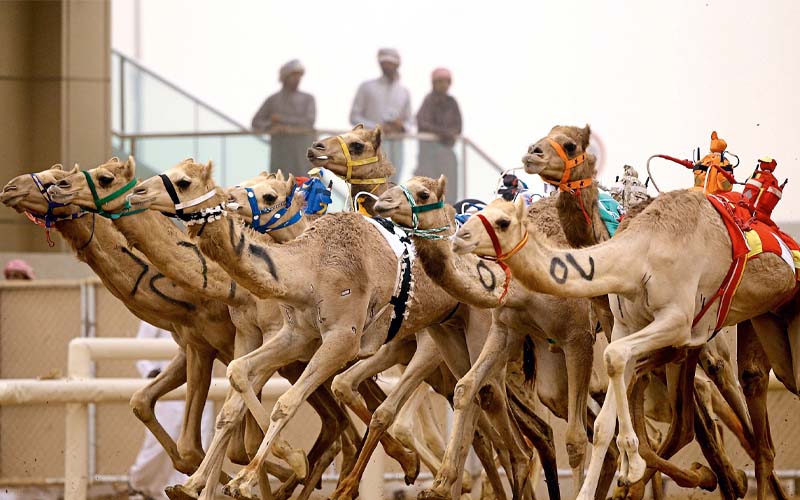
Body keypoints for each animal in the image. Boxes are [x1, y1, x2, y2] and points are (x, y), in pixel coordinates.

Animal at [451, 190, 800, 500]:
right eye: (483, 212)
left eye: (503, 222)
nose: (459, 237)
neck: (641, 255)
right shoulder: (625, 326)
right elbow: (603, 420)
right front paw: (595, 488)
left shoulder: (677, 319)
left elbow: (613, 357)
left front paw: (631, 467)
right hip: (768, 321)